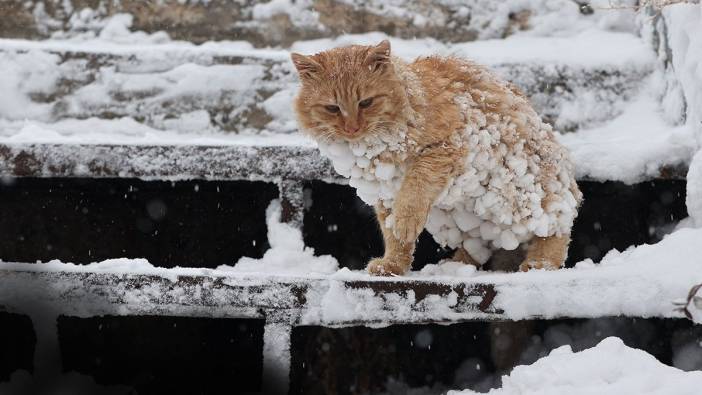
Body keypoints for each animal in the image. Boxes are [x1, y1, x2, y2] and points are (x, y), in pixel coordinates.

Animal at [292, 39, 584, 276]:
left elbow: (413, 193)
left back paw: (540, 264)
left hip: (520, 195)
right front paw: (393, 266)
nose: (352, 128)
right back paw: (454, 265)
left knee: (557, 227)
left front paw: (405, 224)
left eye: (366, 102)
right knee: (482, 247)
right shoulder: (385, 192)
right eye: (332, 108)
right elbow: (394, 238)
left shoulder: (442, 150)